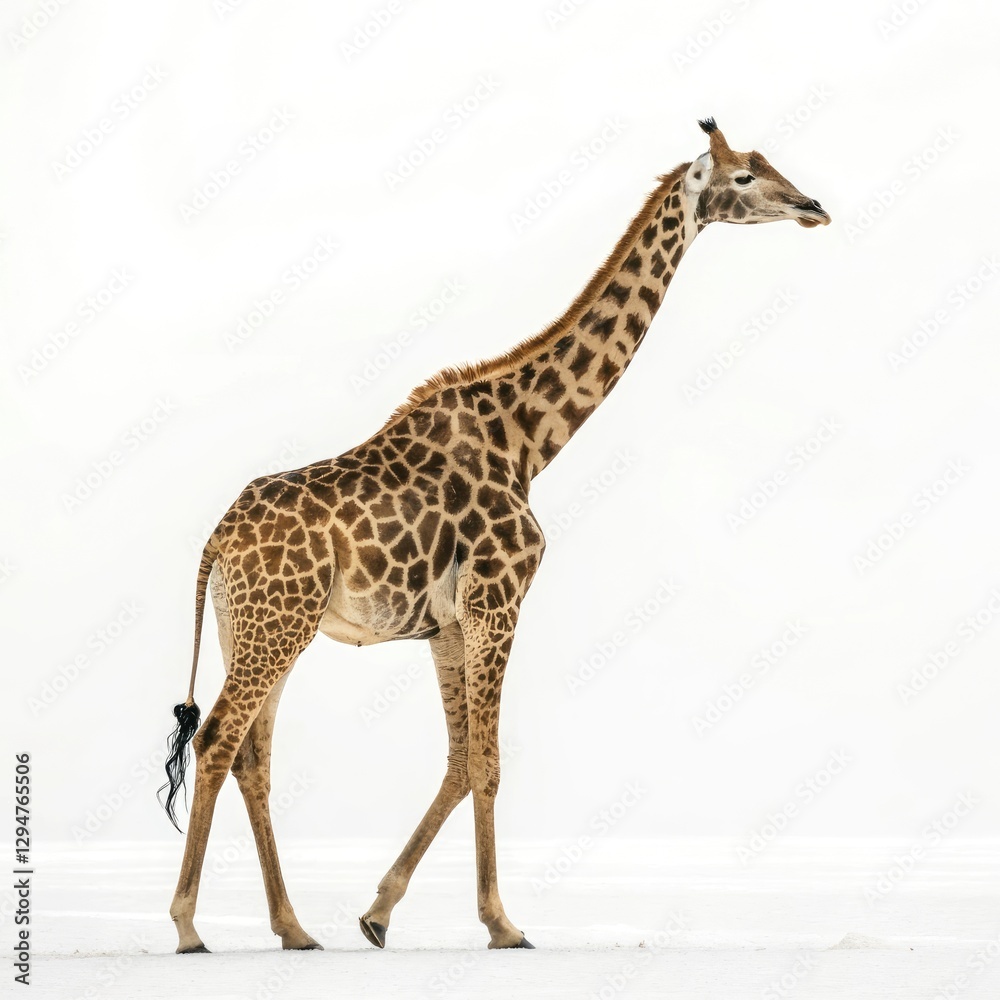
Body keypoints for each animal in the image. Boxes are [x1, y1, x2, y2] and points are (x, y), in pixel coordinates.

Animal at [160, 118, 830, 954]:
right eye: (742, 176)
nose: (813, 207)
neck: (529, 441)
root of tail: (215, 544)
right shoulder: (498, 597)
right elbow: (489, 761)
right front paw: (503, 923)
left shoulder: (447, 623)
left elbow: (458, 761)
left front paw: (378, 914)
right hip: (274, 626)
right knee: (219, 739)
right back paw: (189, 925)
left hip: (257, 626)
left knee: (253, 755)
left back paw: (294, 928)